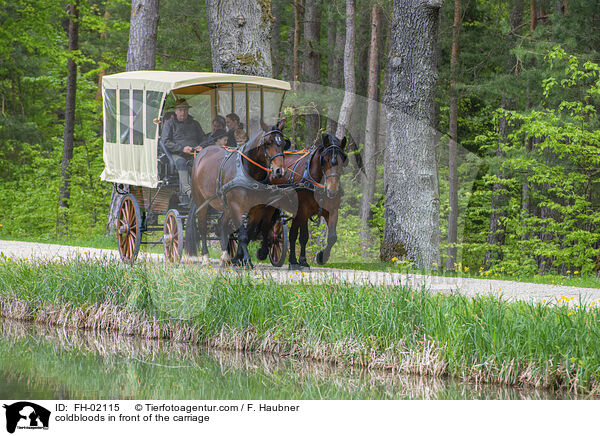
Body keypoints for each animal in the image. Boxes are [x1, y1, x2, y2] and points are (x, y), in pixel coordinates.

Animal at [189, 119, 290, 266]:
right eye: (268, 142)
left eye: (283, 143)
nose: (279, 171)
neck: (248, 172)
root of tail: (202, 153)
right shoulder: (236, 206)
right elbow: (243, 235)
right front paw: (246, 260)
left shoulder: (256, 209)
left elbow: (250, 233)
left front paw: (239, 258)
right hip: (201, 201)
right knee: (202, 227)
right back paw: (206, 257)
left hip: (225, 205)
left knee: (222, 224)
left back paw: (225, 256)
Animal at [253, 133, 346, 270]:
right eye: (324, 160)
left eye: (343, 160)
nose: (332, 190)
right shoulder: (303, 211)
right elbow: (302, 236)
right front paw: (299, 261)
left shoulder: (332, 211)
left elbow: (332, 237)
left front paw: (321, 257)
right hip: (272, 204)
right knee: (267, 225)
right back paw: (264, 252)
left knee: (290, 232)